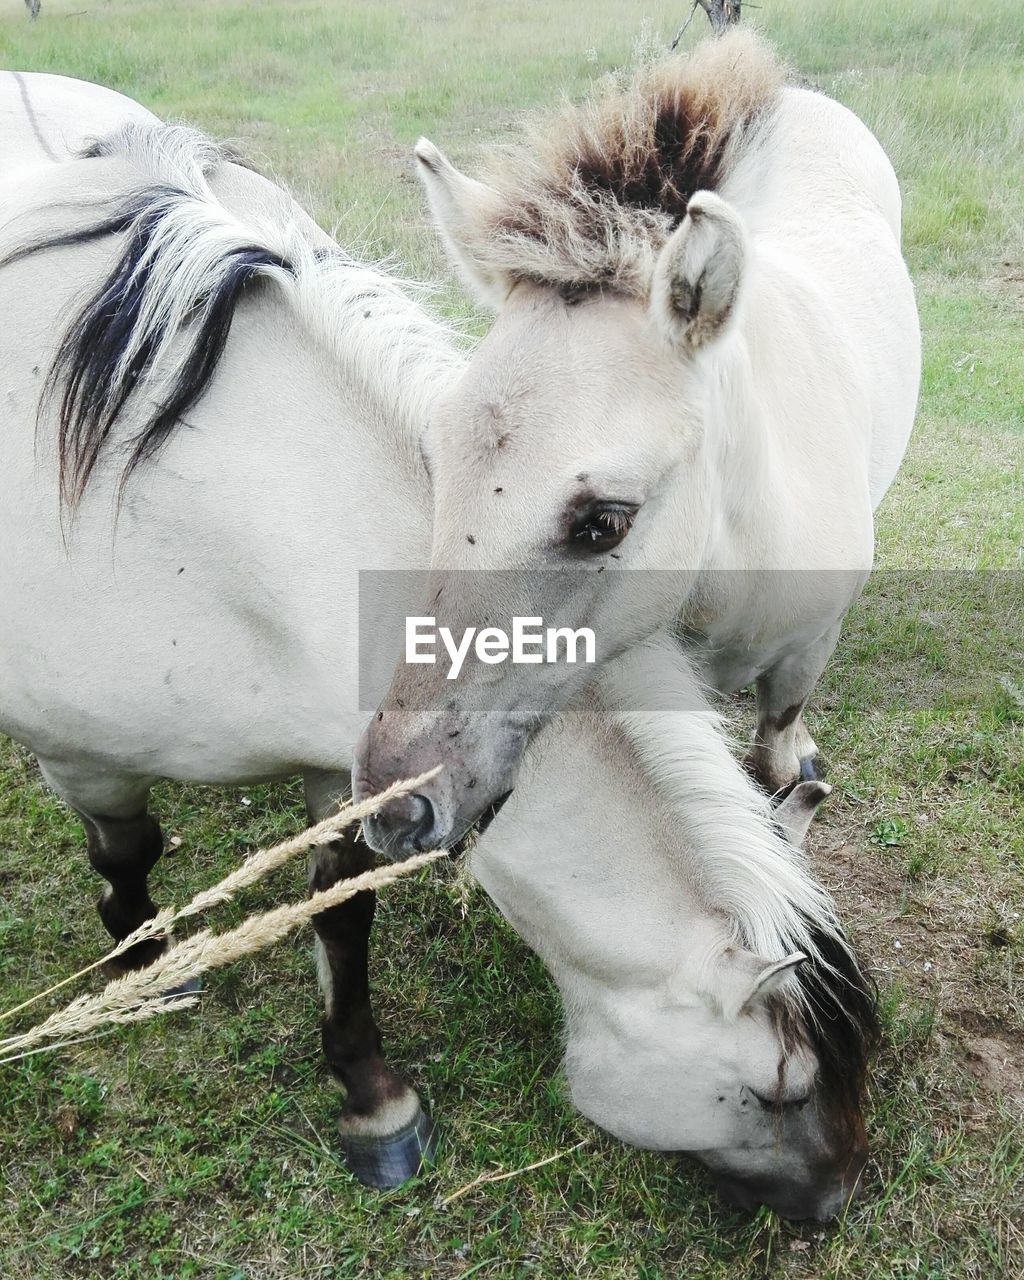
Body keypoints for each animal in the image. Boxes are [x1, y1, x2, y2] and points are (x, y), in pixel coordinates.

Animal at [2, 74, 880, 1213]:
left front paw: (372, 1099)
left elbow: (340, 913)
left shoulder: (341, 770)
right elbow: (128, 855)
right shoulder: (85, 758)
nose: (836, 1196)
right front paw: (149, 964)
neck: (218, 528)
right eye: (781, 1090)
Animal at [360, 30, 921, 855]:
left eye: (606, 522)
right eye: (434, 463)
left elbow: (776, 744)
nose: (397, 810)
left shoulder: (811, 643)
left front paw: (793, 774)